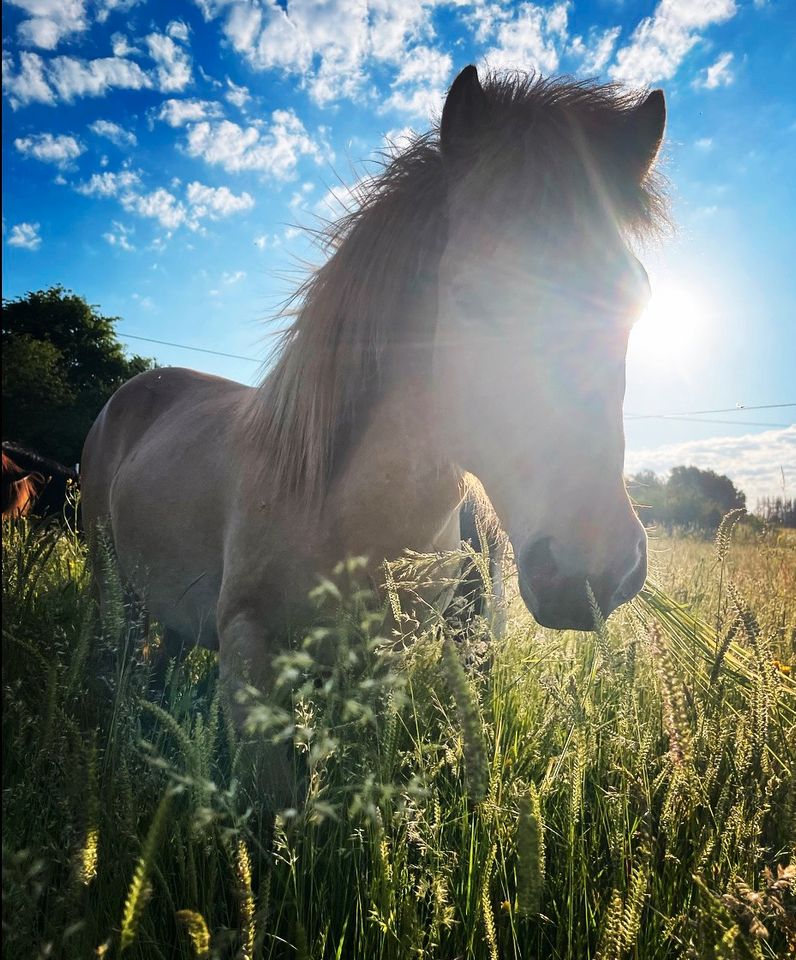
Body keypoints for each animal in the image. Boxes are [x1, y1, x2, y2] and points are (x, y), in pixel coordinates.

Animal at [79, 65, 664, 752]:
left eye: (637, 299)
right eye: (467, 293)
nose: (592, 570)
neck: (340, 508)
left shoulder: (374, 669)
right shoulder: (249, 657)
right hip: (111, 585)